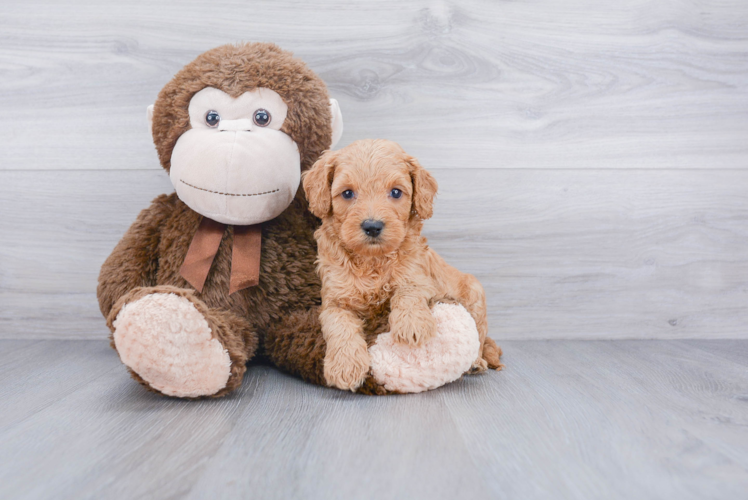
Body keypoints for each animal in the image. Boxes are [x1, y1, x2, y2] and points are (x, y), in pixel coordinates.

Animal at [300, 138, 502, 390]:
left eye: (396, 192)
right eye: (347, 193)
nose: (372, 226)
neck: (372, 261)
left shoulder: (418, 273)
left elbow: (408, 289)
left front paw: (411, 325)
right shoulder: (334, 300)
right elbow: (339, 324)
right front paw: (345, 366)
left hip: (475, 293)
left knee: (480, 335)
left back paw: (476, 362)